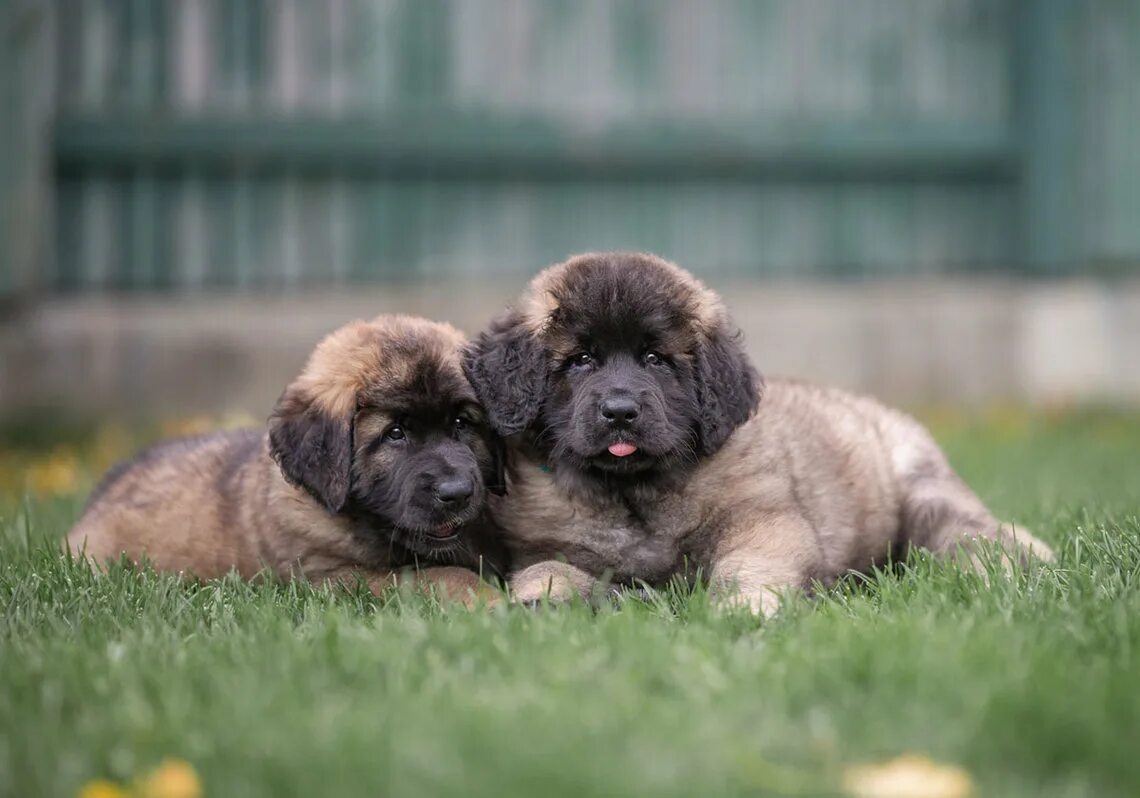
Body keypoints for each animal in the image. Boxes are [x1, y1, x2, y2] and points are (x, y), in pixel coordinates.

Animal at [65, 314, 503, 601]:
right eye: (395, 433)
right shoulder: (331, 578)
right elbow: (441, 575)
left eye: (462, 423)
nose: (457, 492)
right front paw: (491, 601)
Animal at [462, 251, 1048, 615]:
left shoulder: (763, 521)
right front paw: (544, 600)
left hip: (926, 501)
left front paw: (745, 610)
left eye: (655, 360)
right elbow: (548, 570)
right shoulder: (540, 543)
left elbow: (749, 567)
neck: (632, 494)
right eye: (580, 360)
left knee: (974, 538)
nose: (621, 411)